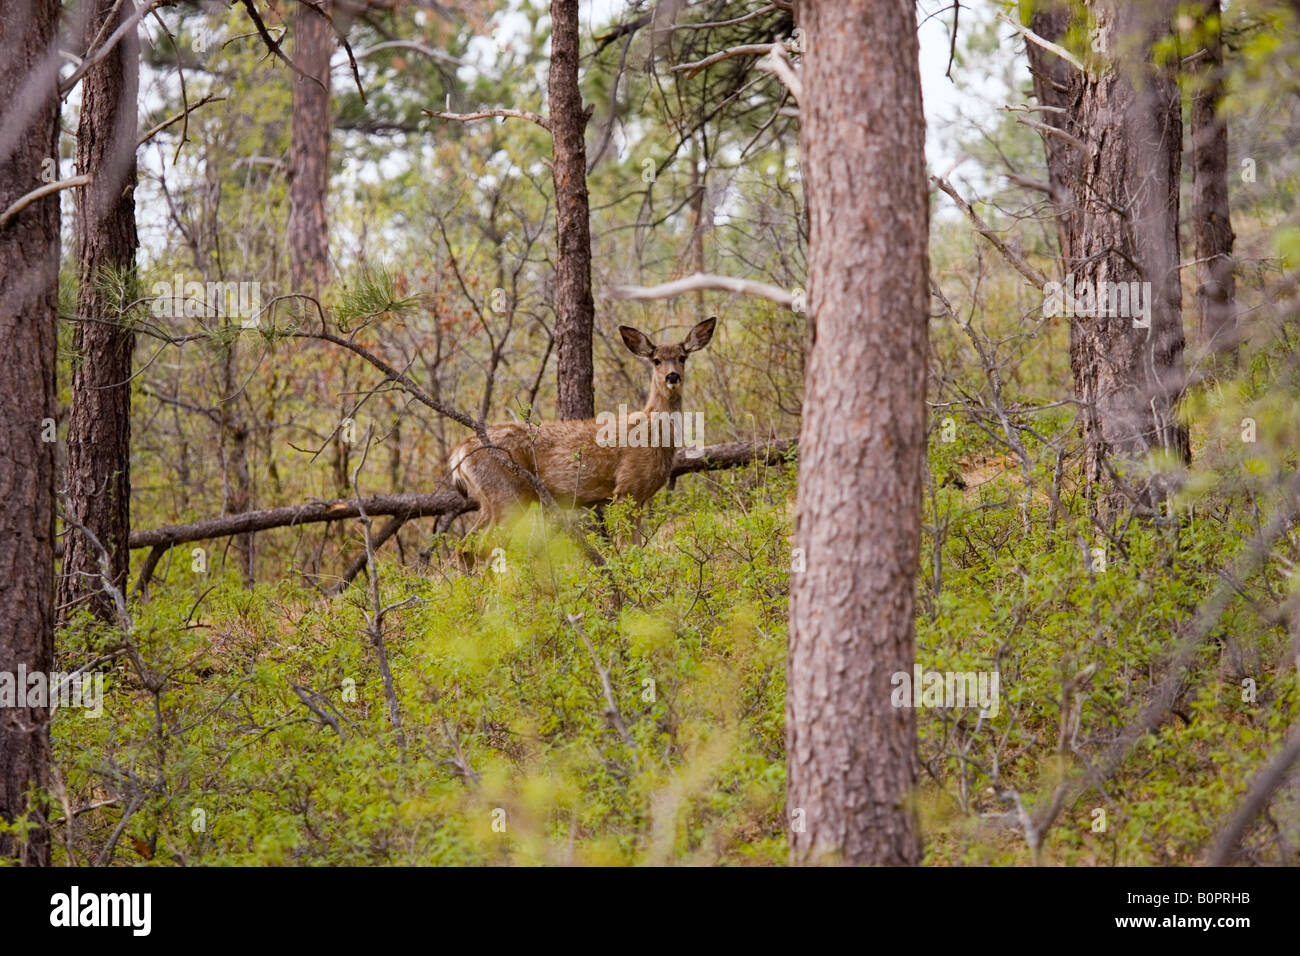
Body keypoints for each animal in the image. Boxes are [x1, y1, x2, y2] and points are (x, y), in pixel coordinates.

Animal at [448, 316, 717, 550]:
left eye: (682, 357)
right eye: (657, 360)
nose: (673, 376)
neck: (651, 433)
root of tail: (459, 451)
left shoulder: (639, 497)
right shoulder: (626, 487)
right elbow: (628, 547)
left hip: (489, 500)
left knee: (464, 549)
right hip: (506, 494)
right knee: (479, 548)